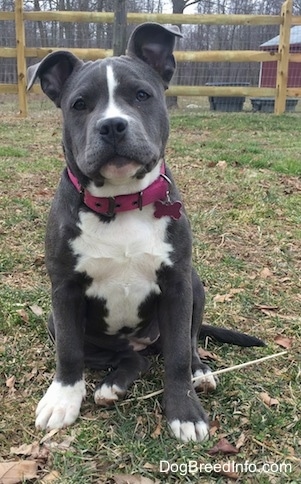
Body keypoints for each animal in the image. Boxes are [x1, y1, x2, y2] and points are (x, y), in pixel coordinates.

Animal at [27, 23, 262, 442]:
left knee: (184, 342)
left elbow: (179, 355)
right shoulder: (64, 290)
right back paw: (113, 384)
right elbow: (69, 351)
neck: (120, 202)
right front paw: (62, 399)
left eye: (141, 95)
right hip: (59, 320)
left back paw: (198, 372)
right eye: (80, 104)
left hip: (195, 284)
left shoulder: (177, 285)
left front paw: (185, 411)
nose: (112, 125)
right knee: (130, 358)